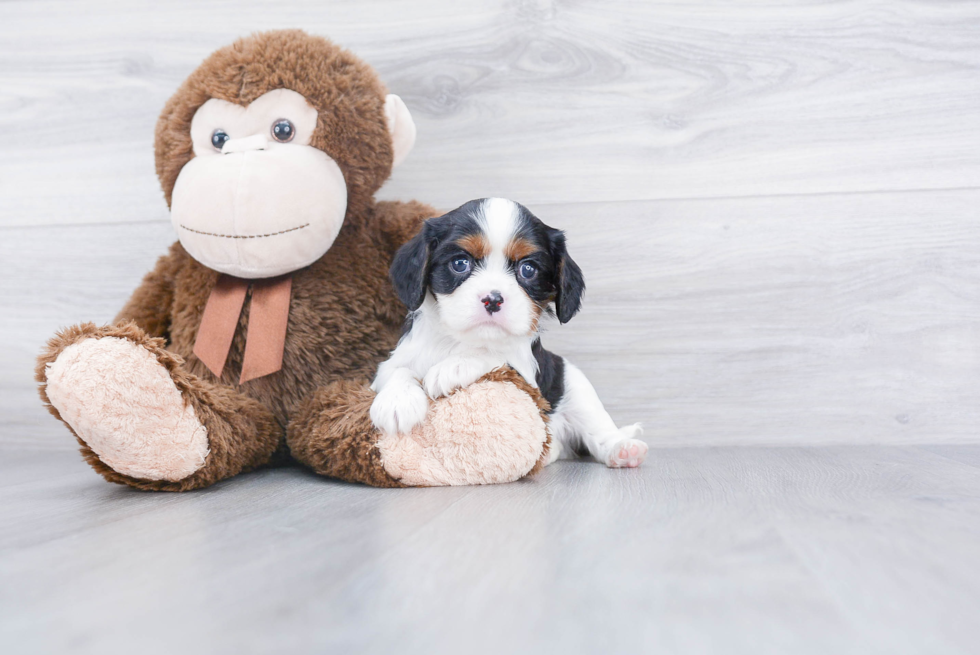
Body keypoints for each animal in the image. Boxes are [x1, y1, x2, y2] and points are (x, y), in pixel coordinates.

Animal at [372, 197, 648, 468]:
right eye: (460, 263)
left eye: (528, 269)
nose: (492, 299)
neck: (461, 341)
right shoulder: (393, 362)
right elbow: (397, 370)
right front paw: (397, 401)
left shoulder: (526, 374)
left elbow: (494, 355)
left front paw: (454, 367)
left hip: (576, 385)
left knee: (599, 433)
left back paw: (624, 449)